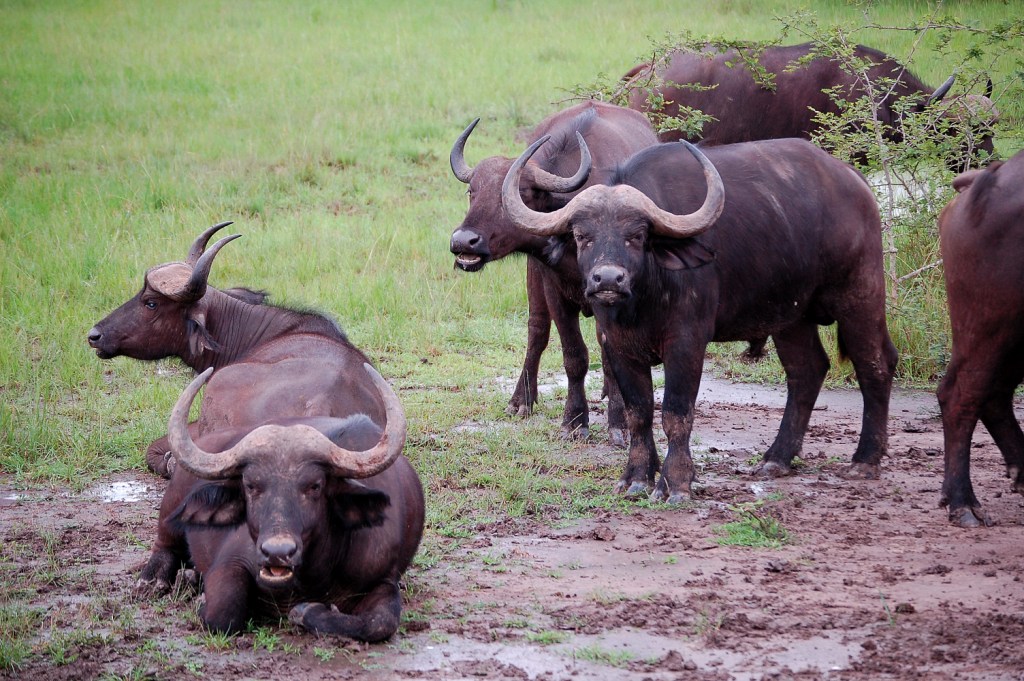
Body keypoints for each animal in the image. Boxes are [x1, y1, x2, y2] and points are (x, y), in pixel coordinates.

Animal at [137, 364, 423, 639]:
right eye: (250, 485)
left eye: (315, 486)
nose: (277, 552)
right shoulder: (232, 560)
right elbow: (223, 614)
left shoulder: (383, 579)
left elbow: (379, 623)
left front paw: (306, 612)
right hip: (172, 503)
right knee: (165, 544)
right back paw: (156, 580)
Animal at [448, 98, 655, 444]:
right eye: (472, 192)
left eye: (519, 194)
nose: (464, 241)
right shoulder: (553, 287)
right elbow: (573, 355)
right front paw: (574, 420)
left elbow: (611, 353)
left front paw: (620, 421)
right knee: (537, 330)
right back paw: (521, 400)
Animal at [503, 135, 897, 501]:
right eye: (582, 236)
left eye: (637, 236)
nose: (609, 279)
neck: (644, 299)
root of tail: (854, 181)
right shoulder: (617, 345)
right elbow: (639, 412)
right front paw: (637, 478)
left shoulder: (686, 343)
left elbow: (676, 413)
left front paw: (676, 483)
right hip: (791, 316)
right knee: (807, 370)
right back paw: (777, 458)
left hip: (860, 293)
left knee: (875, 364)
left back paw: (865, 460)